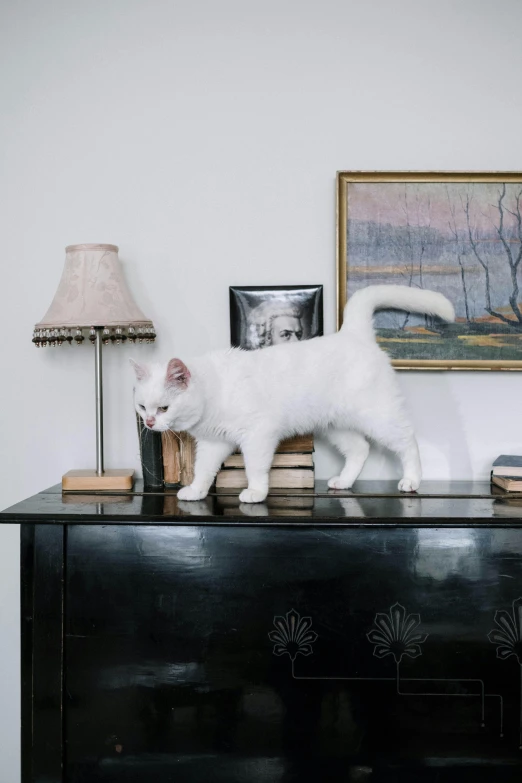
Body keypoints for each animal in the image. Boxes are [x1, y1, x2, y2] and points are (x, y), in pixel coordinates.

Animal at [132, 286, 452, 502]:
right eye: (142, 407)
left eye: (163, 408)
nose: (149, 423)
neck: (216, 390)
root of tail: (352, 333)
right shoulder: (213, 443)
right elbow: (203, 470)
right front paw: (197, 491)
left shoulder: (258, 436)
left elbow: (254, 468)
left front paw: (255, 492)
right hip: (335, 426)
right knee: (360, 449)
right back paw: (343, 482)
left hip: (378, 417)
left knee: (407, 441)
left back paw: (411, 480)